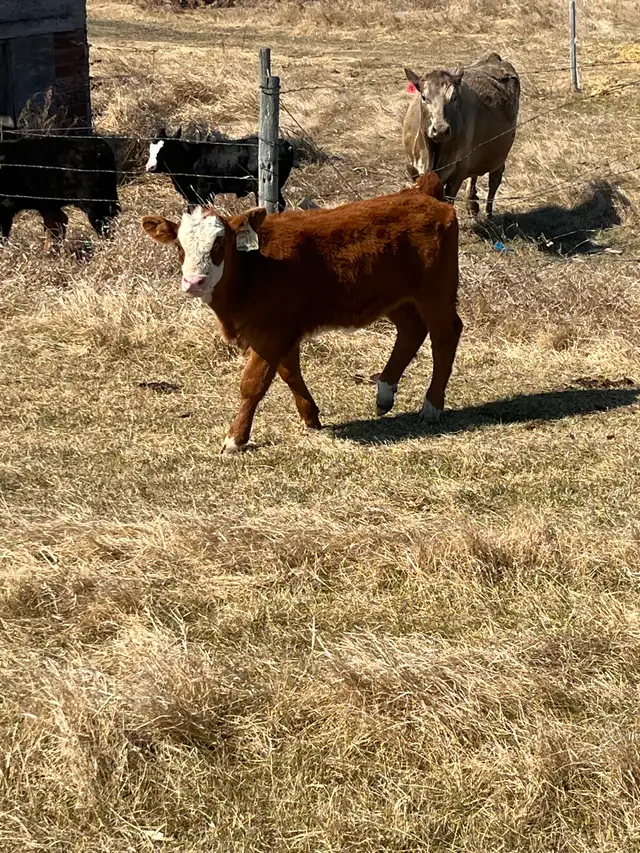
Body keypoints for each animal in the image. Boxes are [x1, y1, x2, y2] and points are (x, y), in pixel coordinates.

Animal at [140, 173, 462, 454]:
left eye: (219, 243)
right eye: (180, 246)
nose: (194, 281)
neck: (255, 268)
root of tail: (423, 192)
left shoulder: (270, 333)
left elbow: (253, 384)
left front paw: (236, 438)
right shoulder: (283, 332)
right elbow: (289, 372)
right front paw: (310, 416)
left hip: (436, 294)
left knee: (445, 336)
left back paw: (431, 406)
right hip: (396, 299)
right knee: (411, 331)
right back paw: (384, 393)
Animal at [145, 128, 295, 212]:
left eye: (166, 150)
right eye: (150, 148)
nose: (150, 167)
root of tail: (284, 144)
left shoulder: (204, 192)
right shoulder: (191, 195)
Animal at [403, 52, 520, 217]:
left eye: (453, 97)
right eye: (424, 97)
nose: (440, 129)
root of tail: (494, 58)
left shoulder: (456, 174)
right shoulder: (413, 171)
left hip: (500, 154)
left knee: (494, 180)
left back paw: (488, 215)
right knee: (475, 174)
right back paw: (472, 203)